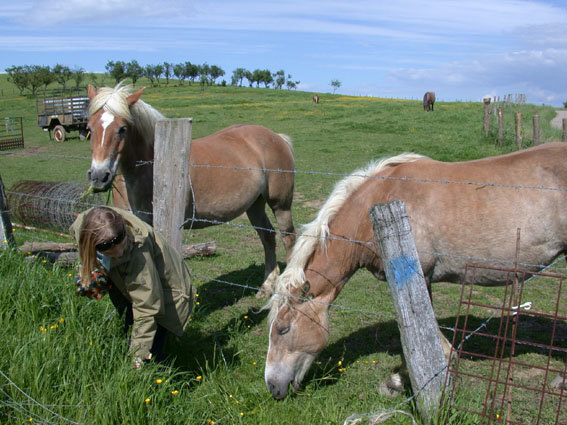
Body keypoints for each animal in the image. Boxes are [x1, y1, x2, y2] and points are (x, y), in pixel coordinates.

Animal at [86, 82, 298, 294]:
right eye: (89, 128)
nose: (99, 176)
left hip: (281, 205)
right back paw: (267, 285)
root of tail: (276, 137)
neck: (152, 164)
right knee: (267, 236)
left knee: (288, 238)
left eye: (122, 128)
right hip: (255, 205)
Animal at [264, 142, 567, 398]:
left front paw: (409, 379)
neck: (375, 206)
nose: (272, 386)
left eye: (282, 329)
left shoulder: (417, 275)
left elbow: (415, 332)